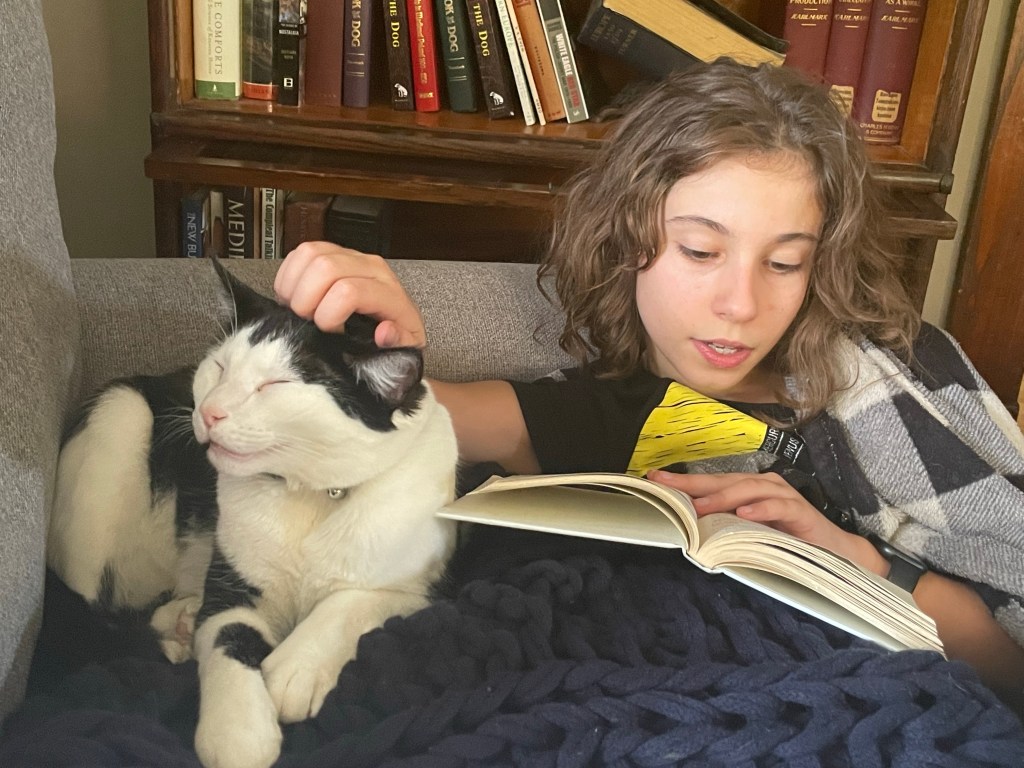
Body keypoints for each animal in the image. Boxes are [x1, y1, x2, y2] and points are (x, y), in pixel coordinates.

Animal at [46, 260, 459, 768]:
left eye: (275, 385)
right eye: (220, 367)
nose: (209, 411)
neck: (310, 498)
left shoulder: (425, 592)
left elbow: (352, 602)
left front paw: (295, 670)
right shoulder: (230, 591)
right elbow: (227, 641)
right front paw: (237, 733)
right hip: (119, 416)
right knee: (105, 609)